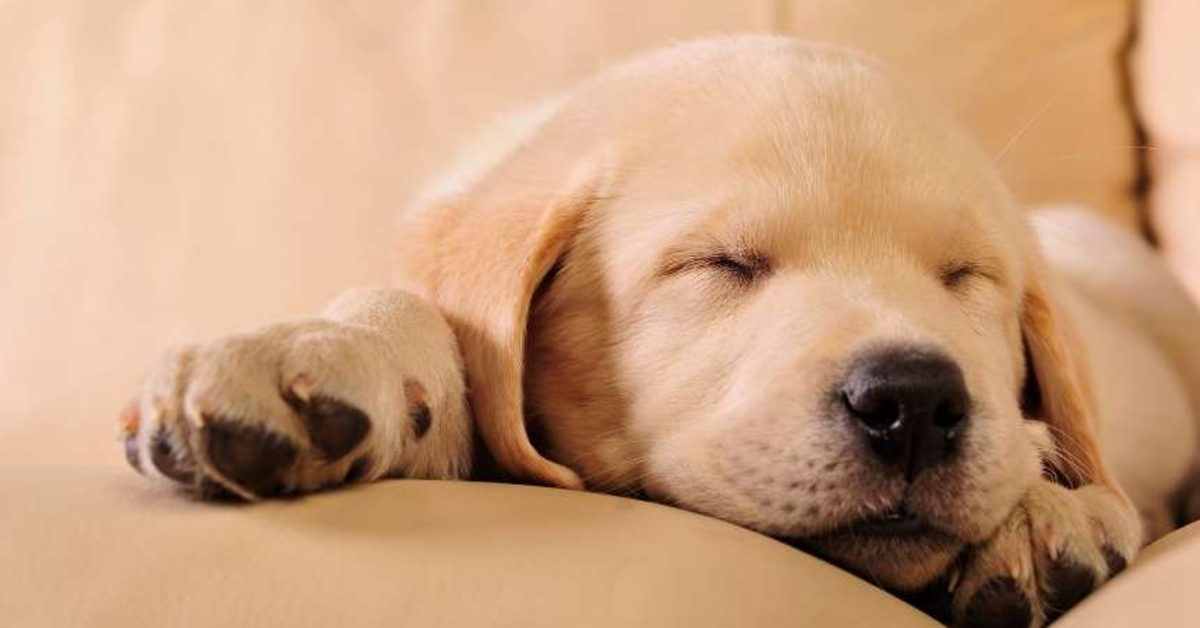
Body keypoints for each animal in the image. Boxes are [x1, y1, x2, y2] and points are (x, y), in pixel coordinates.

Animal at [114, 36, 1200, 624]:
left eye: (965, 280)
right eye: (721, 264)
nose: (918, 399)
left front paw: (1046, 510)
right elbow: (426, 318)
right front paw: (315, 349)